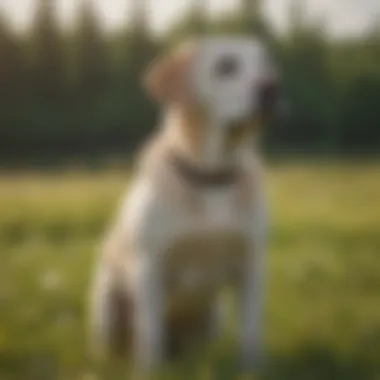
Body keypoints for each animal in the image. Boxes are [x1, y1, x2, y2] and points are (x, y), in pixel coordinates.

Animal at [89, 37, 280, 372]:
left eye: (265, 62)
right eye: (226, 66)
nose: (272, 88)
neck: (212, 175)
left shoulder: (251, 264)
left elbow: (251, 332)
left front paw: (253, 370)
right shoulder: (150, 266)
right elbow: (151, 334)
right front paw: (149, 372)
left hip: (214, 315)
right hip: (106, 296)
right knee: (114, 339)